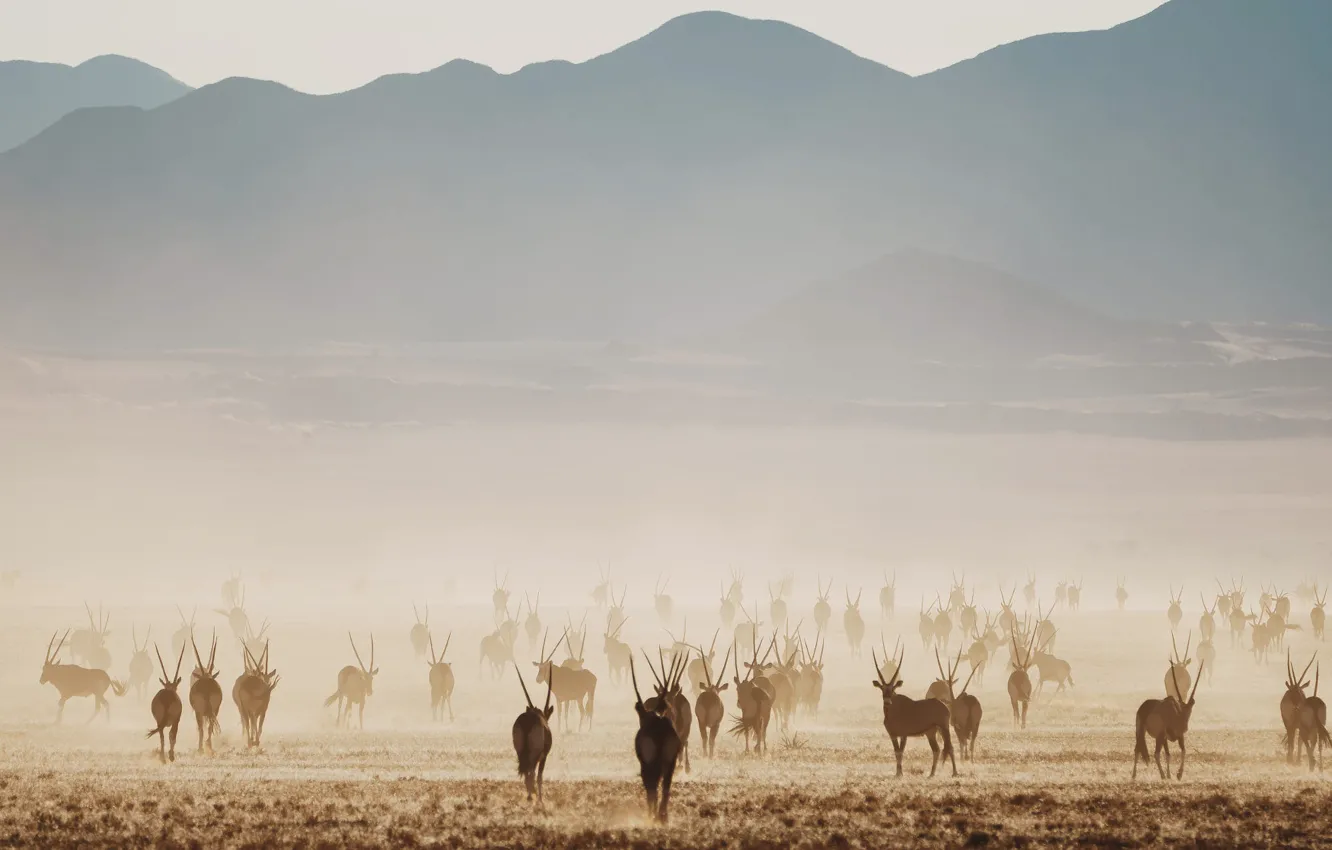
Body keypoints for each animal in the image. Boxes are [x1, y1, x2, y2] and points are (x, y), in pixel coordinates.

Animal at [511, 662, 553, 805]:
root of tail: (529, 718)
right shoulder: (544, 756)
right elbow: (539, 776)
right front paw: (540, 799)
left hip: (520, 752)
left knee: (526, 772)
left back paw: (530, 795)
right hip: (534, 754)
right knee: (532, 773)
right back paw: (533, 795)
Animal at [630, 656, 682, 824]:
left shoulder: (644, 764)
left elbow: (649, 787)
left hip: (651, 764)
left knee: (652, 786)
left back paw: (654, 816)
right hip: (670, 762)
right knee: (665, 786)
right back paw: (662, 816)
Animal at [871, 646, 957, 777]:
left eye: (893, 688)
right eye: (882, 689)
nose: (887, 702)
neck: (894, 712)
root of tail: (943, 704)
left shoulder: (904, 735)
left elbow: (900, 752)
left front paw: (900, 774)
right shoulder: (893, 735)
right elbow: (896, 751)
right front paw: (898, 773)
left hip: (943, 728)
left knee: (950, 747)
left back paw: (954, 773)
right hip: (931, 732)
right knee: (936, 750)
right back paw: (931, 774)